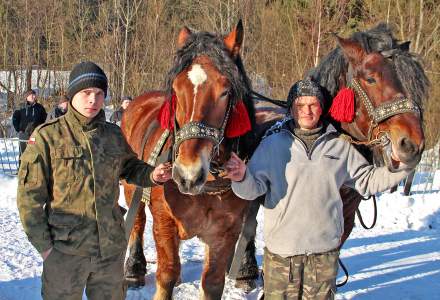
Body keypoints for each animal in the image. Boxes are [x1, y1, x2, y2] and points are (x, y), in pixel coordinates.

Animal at [120, 21, 260, 300]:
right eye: (176, 89)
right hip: (131, 189)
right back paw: (134, 270)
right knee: (137, 222)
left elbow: (212, 281)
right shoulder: (164, 219)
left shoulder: (225, 231)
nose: (187, 174)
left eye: (225, 92)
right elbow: (166, 273)